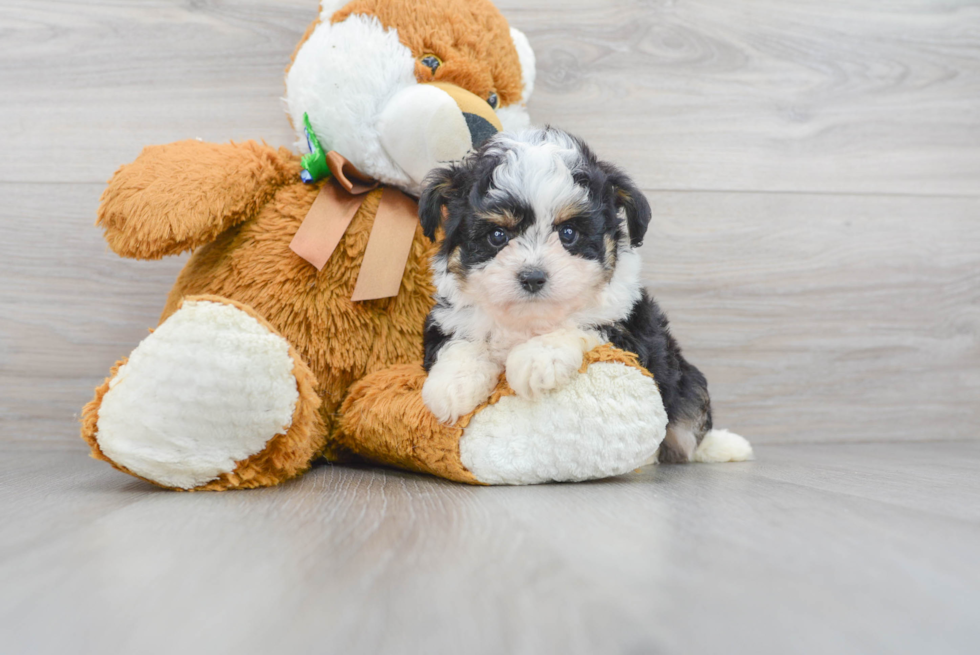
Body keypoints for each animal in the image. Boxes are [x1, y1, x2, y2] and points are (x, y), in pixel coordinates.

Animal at [418, 127, 748, 466]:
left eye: (569, 234)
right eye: (497, 236)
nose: (533, 277)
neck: (528, 319)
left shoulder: (627, 331)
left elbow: (582, 325)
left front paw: (537, 359)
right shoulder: (450, 317)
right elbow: (460, 342)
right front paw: (451, 385)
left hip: (685, 382)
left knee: (689, 427)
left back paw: (724, 446)